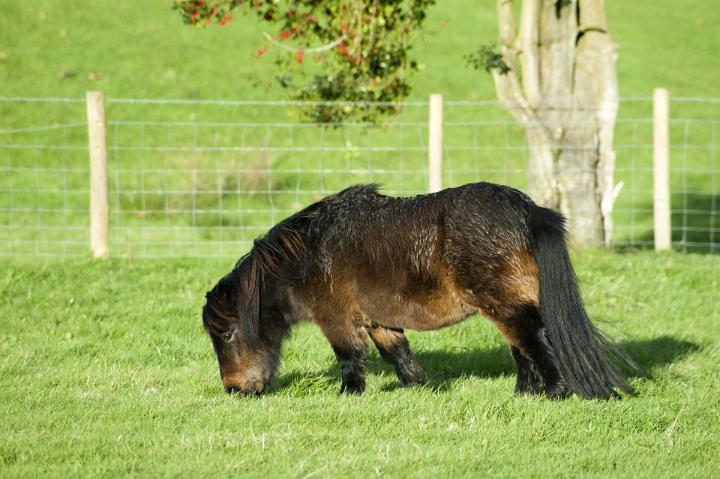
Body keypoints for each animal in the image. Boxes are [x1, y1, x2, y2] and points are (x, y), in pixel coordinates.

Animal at [202, 182, 636, 399]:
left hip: (506, 305)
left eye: (227, 335)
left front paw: (348, 395)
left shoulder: (337, 320)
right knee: (522, 348)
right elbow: (398, 356)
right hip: (506, 304)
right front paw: (418, 388)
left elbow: (349, 359)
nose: (234, 390)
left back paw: (556, 392)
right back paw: (523, 395)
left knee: (535, 342)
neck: (309, 253)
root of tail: (528, 210)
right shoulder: (378, 321)